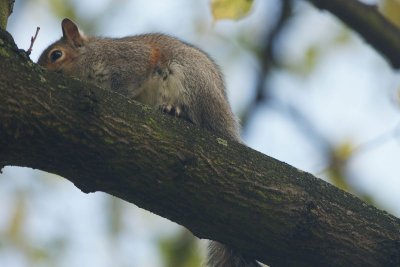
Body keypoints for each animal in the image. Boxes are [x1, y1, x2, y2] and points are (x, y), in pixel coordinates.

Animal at [37, 18, 260, 267]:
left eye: (56, 55)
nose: (41, 70)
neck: (89, 58)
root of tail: (227, 126)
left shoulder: (130, 59)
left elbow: (131, 79)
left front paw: (121, 95)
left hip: (193, 80)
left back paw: (178, 113)